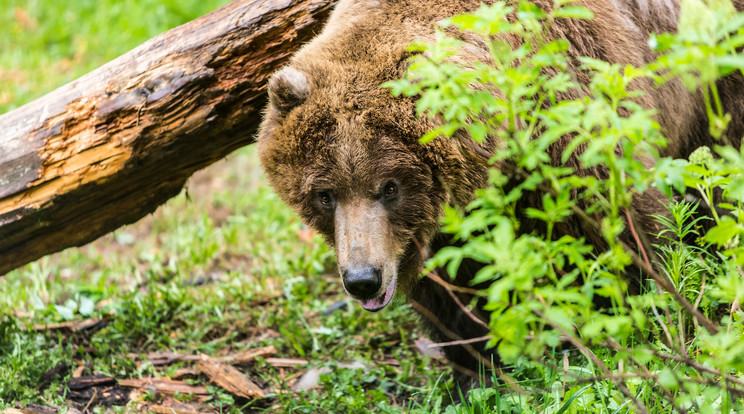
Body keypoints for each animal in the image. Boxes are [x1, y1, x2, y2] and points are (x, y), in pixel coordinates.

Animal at [256, 0, 744, 382]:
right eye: (325, 194)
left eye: (389, 187)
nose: (362, 279)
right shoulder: (441, 227)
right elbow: (455, 293)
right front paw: (474, 369)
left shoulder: (572, 116)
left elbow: (618, 229)